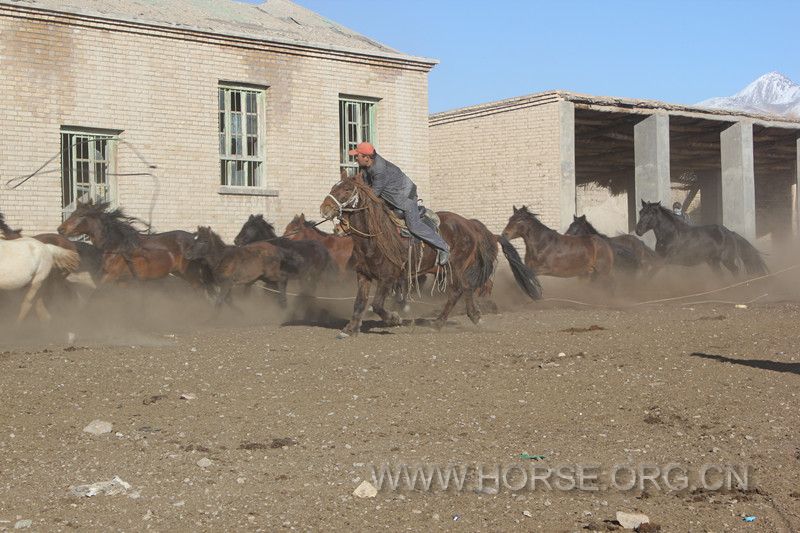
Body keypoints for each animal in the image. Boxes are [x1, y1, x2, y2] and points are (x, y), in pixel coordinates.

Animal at [57, 202, 211, 288]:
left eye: (81, 216)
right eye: (73, 213)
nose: (60, 229)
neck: (115, 246)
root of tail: (194, 238)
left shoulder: (110, 277)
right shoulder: (123, 281)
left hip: (190, 274)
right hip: (180, 273)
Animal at [318, 172, 536, 336]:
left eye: (347, 189)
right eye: (333, 187)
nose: (325, 208)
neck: (375, 236)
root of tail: (469, 224)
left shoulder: (389, 277)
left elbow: (378, 304)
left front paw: (394, 319)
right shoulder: (363, 275)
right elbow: (359, 303)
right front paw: (351, 329)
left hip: (455, 267)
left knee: (458, 290)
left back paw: (439, 323)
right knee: (465, 289)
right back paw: (471, 317)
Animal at [636, 197, 764, 276]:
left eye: (651, 214)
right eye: (641, 212)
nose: (638, 230)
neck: (671, 234)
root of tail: (729, 232)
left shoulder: (664, 260)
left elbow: (650, 274)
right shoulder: (660, 258)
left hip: (727, 259)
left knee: (735, 270)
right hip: (713, 262)